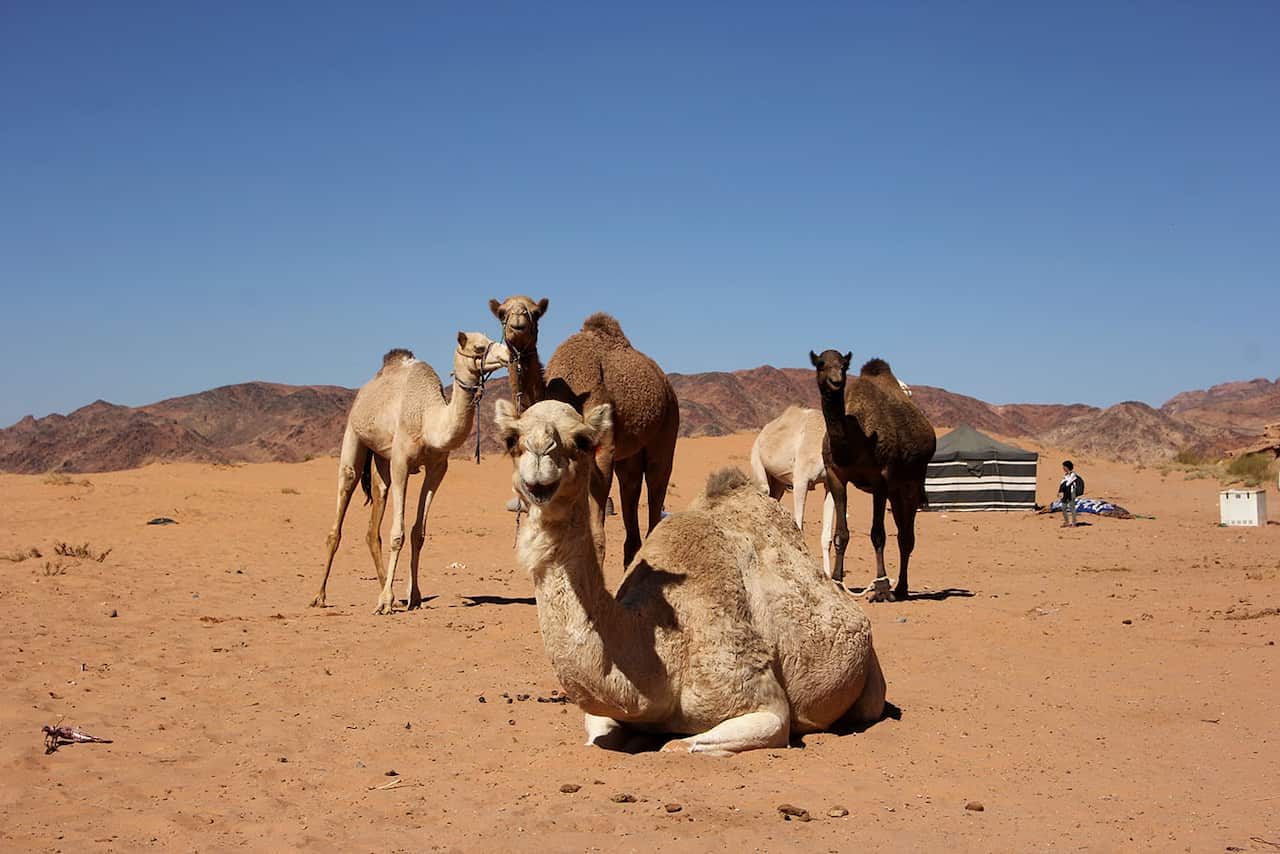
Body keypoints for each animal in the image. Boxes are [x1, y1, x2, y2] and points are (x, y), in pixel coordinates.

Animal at [310, 333, 508, 614]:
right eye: (479, 347)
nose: (509, 354)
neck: (427, 419)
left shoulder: (437, 468)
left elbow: (418, 533)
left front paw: (413, 596)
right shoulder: (401, 461)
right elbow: (398, 534)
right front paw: (385, 602)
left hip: (382, 458)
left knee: (376, 515)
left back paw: (388, 590)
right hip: (353, 436)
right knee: (342, 502)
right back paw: (321, 596)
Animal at [488, 299, 679, 567]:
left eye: (534, 313)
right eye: (502, 313)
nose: (517, 327)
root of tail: (663, 380)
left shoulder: (602, 449)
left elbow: (596, 536)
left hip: (666, 430)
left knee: (656, 486)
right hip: (630, 454)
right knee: (630, 489)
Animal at [749, 406, 838, 576]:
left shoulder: (830, 485)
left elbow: (826, 537)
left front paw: (828, 576)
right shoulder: (801, 481)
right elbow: (798, 527)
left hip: (778, 484)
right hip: (757, 461)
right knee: (763, 492)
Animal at [810, 352, 936, 602]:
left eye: (844, 365)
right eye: (820, 364)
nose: (836, 381)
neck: (856, 442)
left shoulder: (881, 480)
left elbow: (878, 534)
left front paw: (882, 589)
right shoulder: (836, 476)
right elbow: (841, 534)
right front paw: (837, 581)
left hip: (913, 481)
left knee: (906, 537)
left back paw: (901, 588)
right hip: (896, 491)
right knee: (903, 533)